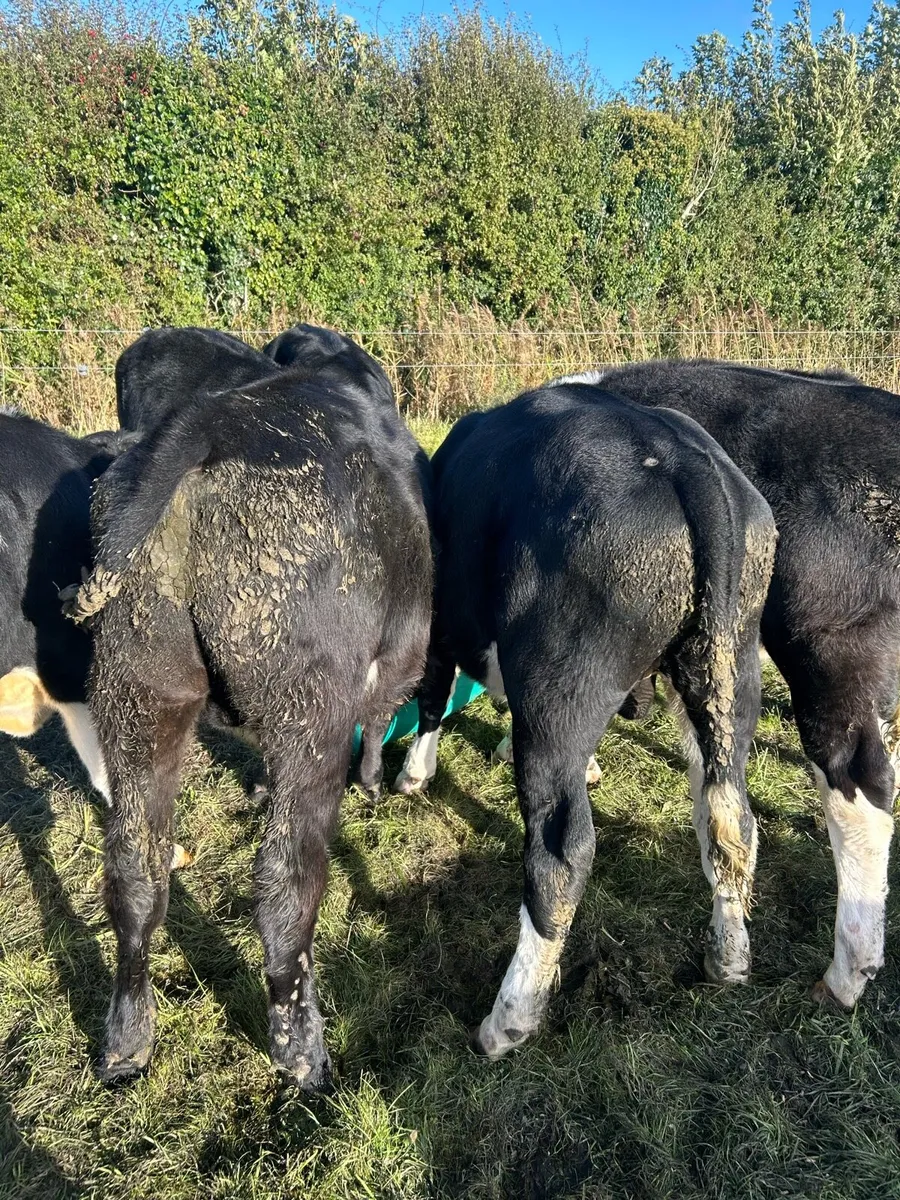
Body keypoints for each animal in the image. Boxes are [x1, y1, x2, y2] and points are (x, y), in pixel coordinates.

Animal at [66, 331, 433, 1089]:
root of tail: (202, 424)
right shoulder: (398, 654)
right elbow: (380, 718)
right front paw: (376, 784)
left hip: (138, 691)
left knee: (134, 872)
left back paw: (126, 1043)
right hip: (311, 713)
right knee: (286, 883)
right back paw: (304, 1055)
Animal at [394, 381, 777, 1059]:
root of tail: (681, 458)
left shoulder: (443, 620)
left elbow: (434, 693)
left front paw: (415, 773)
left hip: (558, 694)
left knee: (561, 854)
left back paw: (508, 1019)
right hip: (729, 668)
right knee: (729, 818)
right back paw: (728, 957)